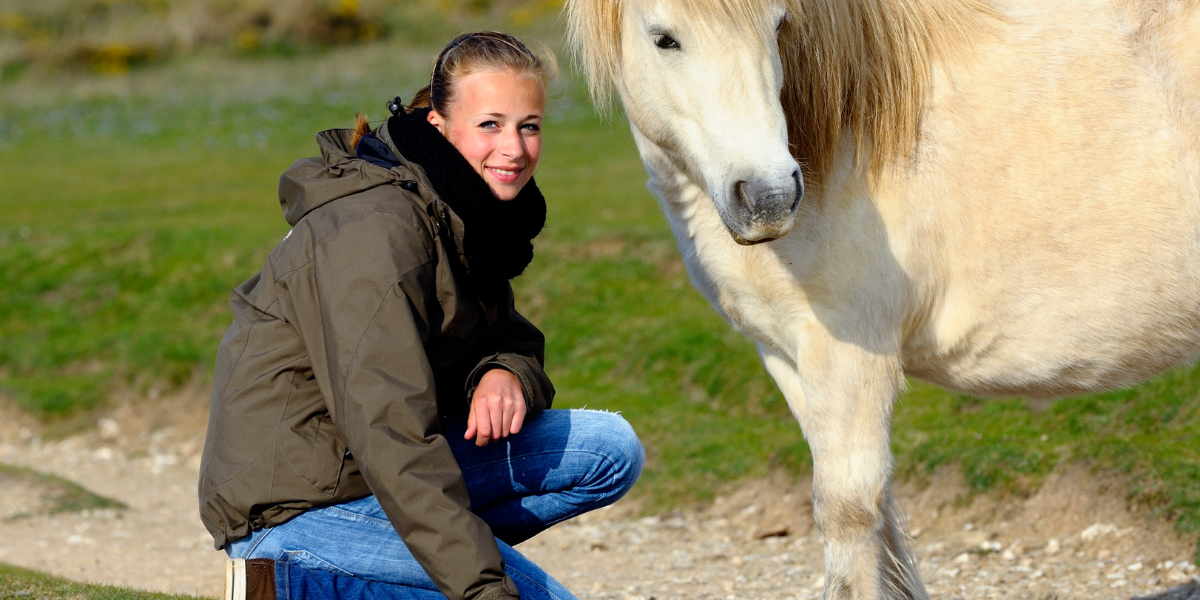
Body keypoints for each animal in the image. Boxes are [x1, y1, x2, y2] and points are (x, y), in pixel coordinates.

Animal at [564, 0, 1200, 598]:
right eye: (664, 38)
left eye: (777, 26)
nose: (770, 198)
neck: (844, 143)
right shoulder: (786, 357)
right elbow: (882, 524)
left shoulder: (850, 356)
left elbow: (848, 513)